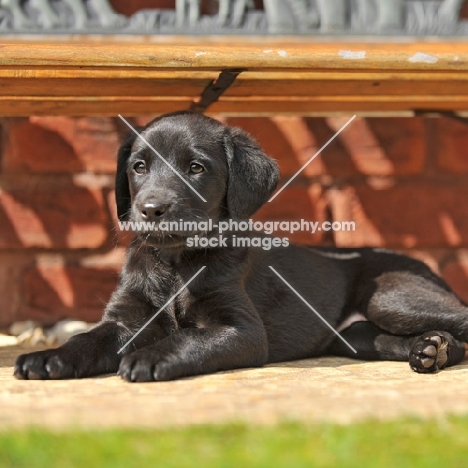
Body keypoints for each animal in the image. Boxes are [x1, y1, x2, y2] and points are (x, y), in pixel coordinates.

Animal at [14, 111, 468, 382]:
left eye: (196, 168)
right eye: (138, 167)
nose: (151, 209)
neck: (176, 262)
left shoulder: (242, 331)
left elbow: (189, 339)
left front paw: (149, 357)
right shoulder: (126, 320)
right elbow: (87, 339)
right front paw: (48, 357)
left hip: (390, 297)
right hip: (355, 335)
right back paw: (431, 350)